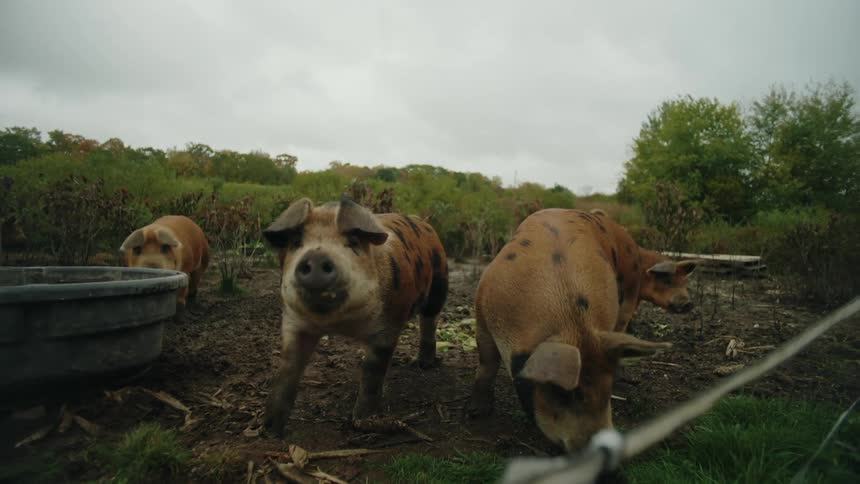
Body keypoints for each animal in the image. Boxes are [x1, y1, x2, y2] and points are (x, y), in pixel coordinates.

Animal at [262, 197, 448, 436]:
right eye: (296, 242)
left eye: (352, 241)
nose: (316, 255)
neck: (340, 324)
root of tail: (424, 221)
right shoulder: (294, 322)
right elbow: (287, 369)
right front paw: (268, 430)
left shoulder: (387, 325)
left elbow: (372, 372)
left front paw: (362, 420)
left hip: (439, 283)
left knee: (429, 322)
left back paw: (423, 365)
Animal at [469, 208, 698, 452]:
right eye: (565, 393)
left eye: (607, 391)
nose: (688, 304)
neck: (570, 322)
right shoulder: (482, 315)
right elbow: (487, 364)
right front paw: (476, 413)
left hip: (626, 296)